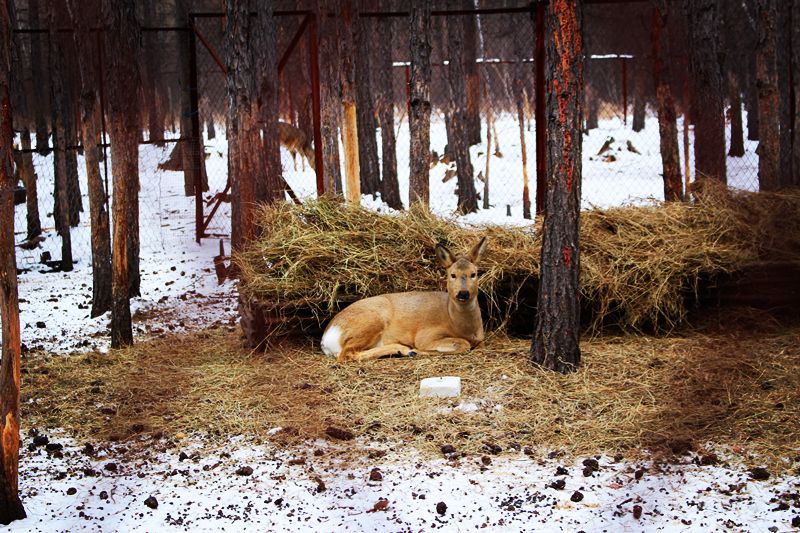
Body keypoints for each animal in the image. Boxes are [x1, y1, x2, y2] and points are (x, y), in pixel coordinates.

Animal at [320, 237, 488, 362]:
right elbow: (463, 344)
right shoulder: (427, 335)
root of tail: (326, 339)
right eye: (452, 275)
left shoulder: (480, 338)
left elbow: (480, 343)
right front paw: (419, 351)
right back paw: (407, 351)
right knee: (347, 354)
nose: (463, 294)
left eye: (474, 274)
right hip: (370, 321)